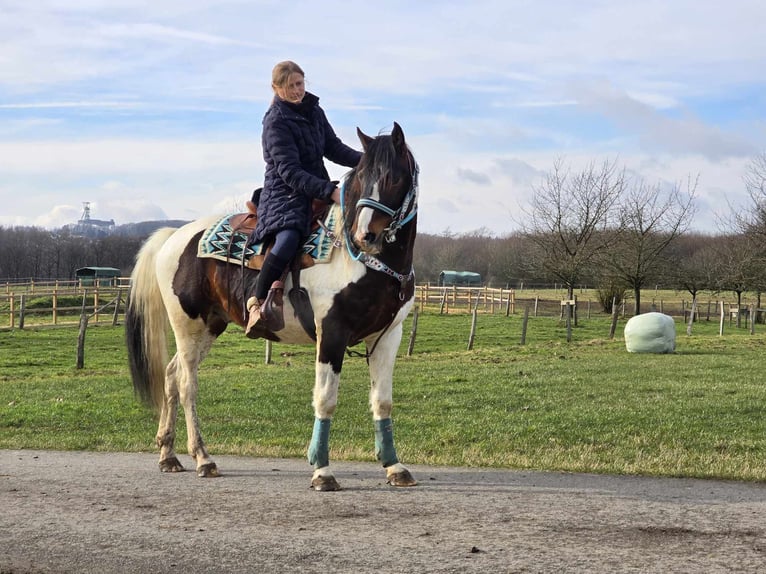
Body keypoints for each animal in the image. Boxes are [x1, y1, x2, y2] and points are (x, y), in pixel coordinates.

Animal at [126, 121, 420, 490]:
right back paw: (203, 458)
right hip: (187, 326)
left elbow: (382, 401)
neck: (360, 260)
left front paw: (394, 467)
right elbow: (325, 399)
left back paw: (169, 455)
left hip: (209, 327)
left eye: (393, 177)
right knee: (186, 384)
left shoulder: (387, 336)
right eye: (362, 178)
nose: (365, 235)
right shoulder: (332, 334)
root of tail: (173, 237)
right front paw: (322, 471)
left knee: (170, 374)